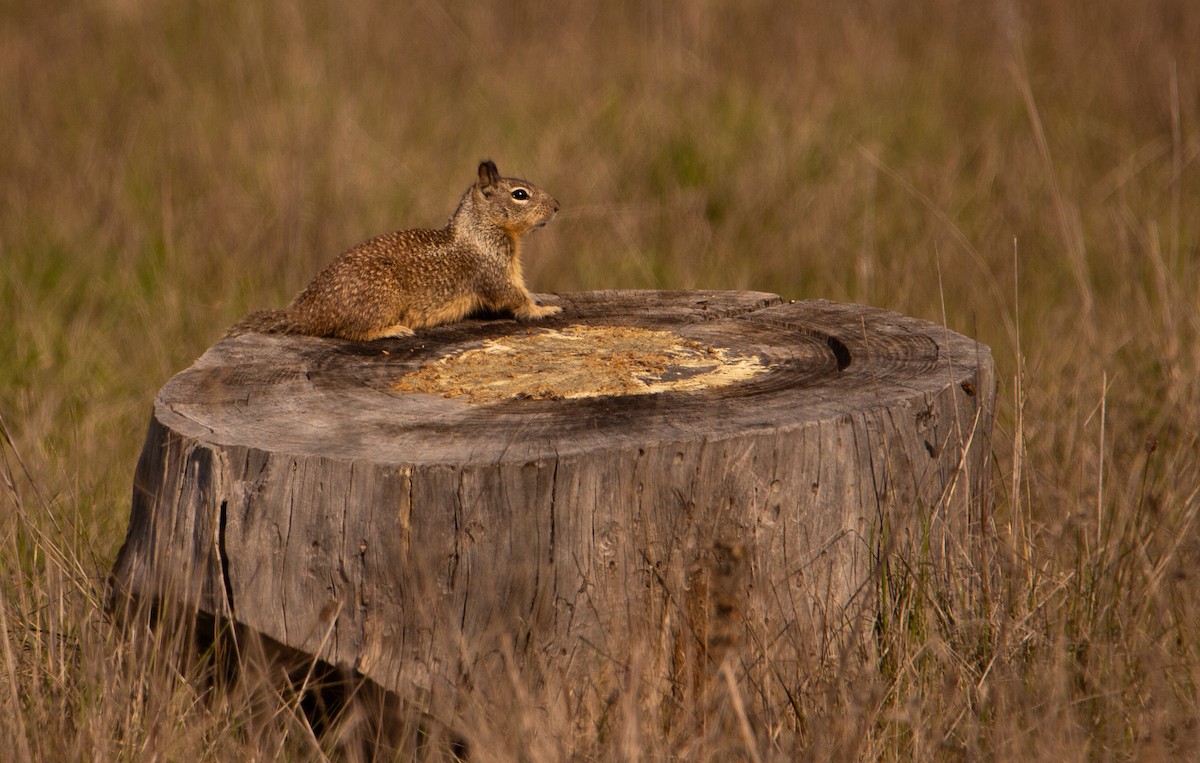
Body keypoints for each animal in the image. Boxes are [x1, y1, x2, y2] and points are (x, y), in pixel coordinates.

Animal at [229, 160, 562, 341]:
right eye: (520, 194)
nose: (558, 206)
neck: (477, 229)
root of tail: (307, 311)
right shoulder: (494, 273)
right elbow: (515, 297)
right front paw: (544, 309)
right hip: (382, 298)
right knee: (350, 331)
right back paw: (391, 330)